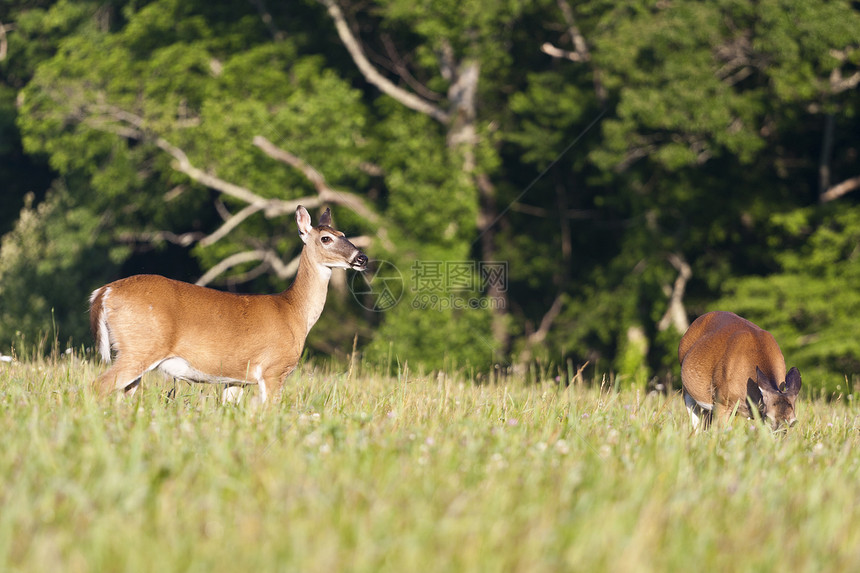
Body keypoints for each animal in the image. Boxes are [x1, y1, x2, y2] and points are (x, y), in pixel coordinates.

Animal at [90, 206, 366, 402]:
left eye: (344, 234)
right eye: (326, 238)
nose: (361, 257)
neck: (293, 310)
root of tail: (104, 292)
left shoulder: (236, 379)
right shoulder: (273, 369)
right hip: (141, 347)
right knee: (99, 385)